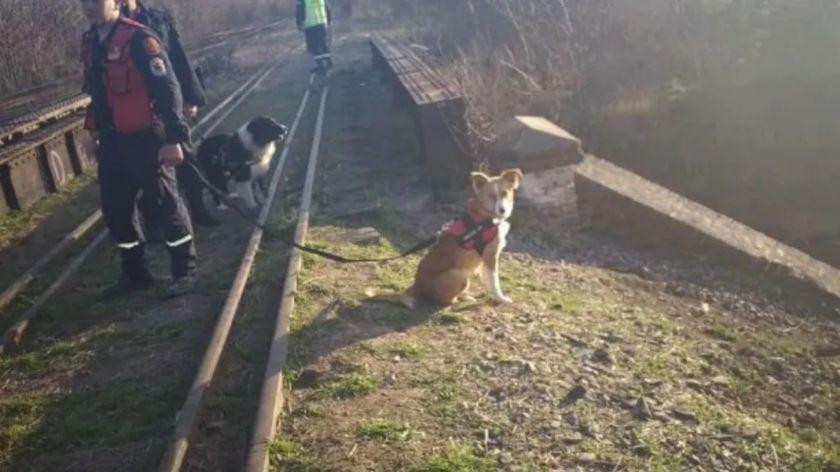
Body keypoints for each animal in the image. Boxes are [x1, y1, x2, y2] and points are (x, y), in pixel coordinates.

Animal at [370, 168, 520, 308]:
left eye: (505, 193)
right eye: (491, 196)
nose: (502, 210)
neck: (487, 215)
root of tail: (417, 285)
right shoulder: (490, 256)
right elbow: (494, 282)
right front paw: (501, 298)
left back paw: (465, 296)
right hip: (458, 274)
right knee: (443, 301)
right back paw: (461, 301)